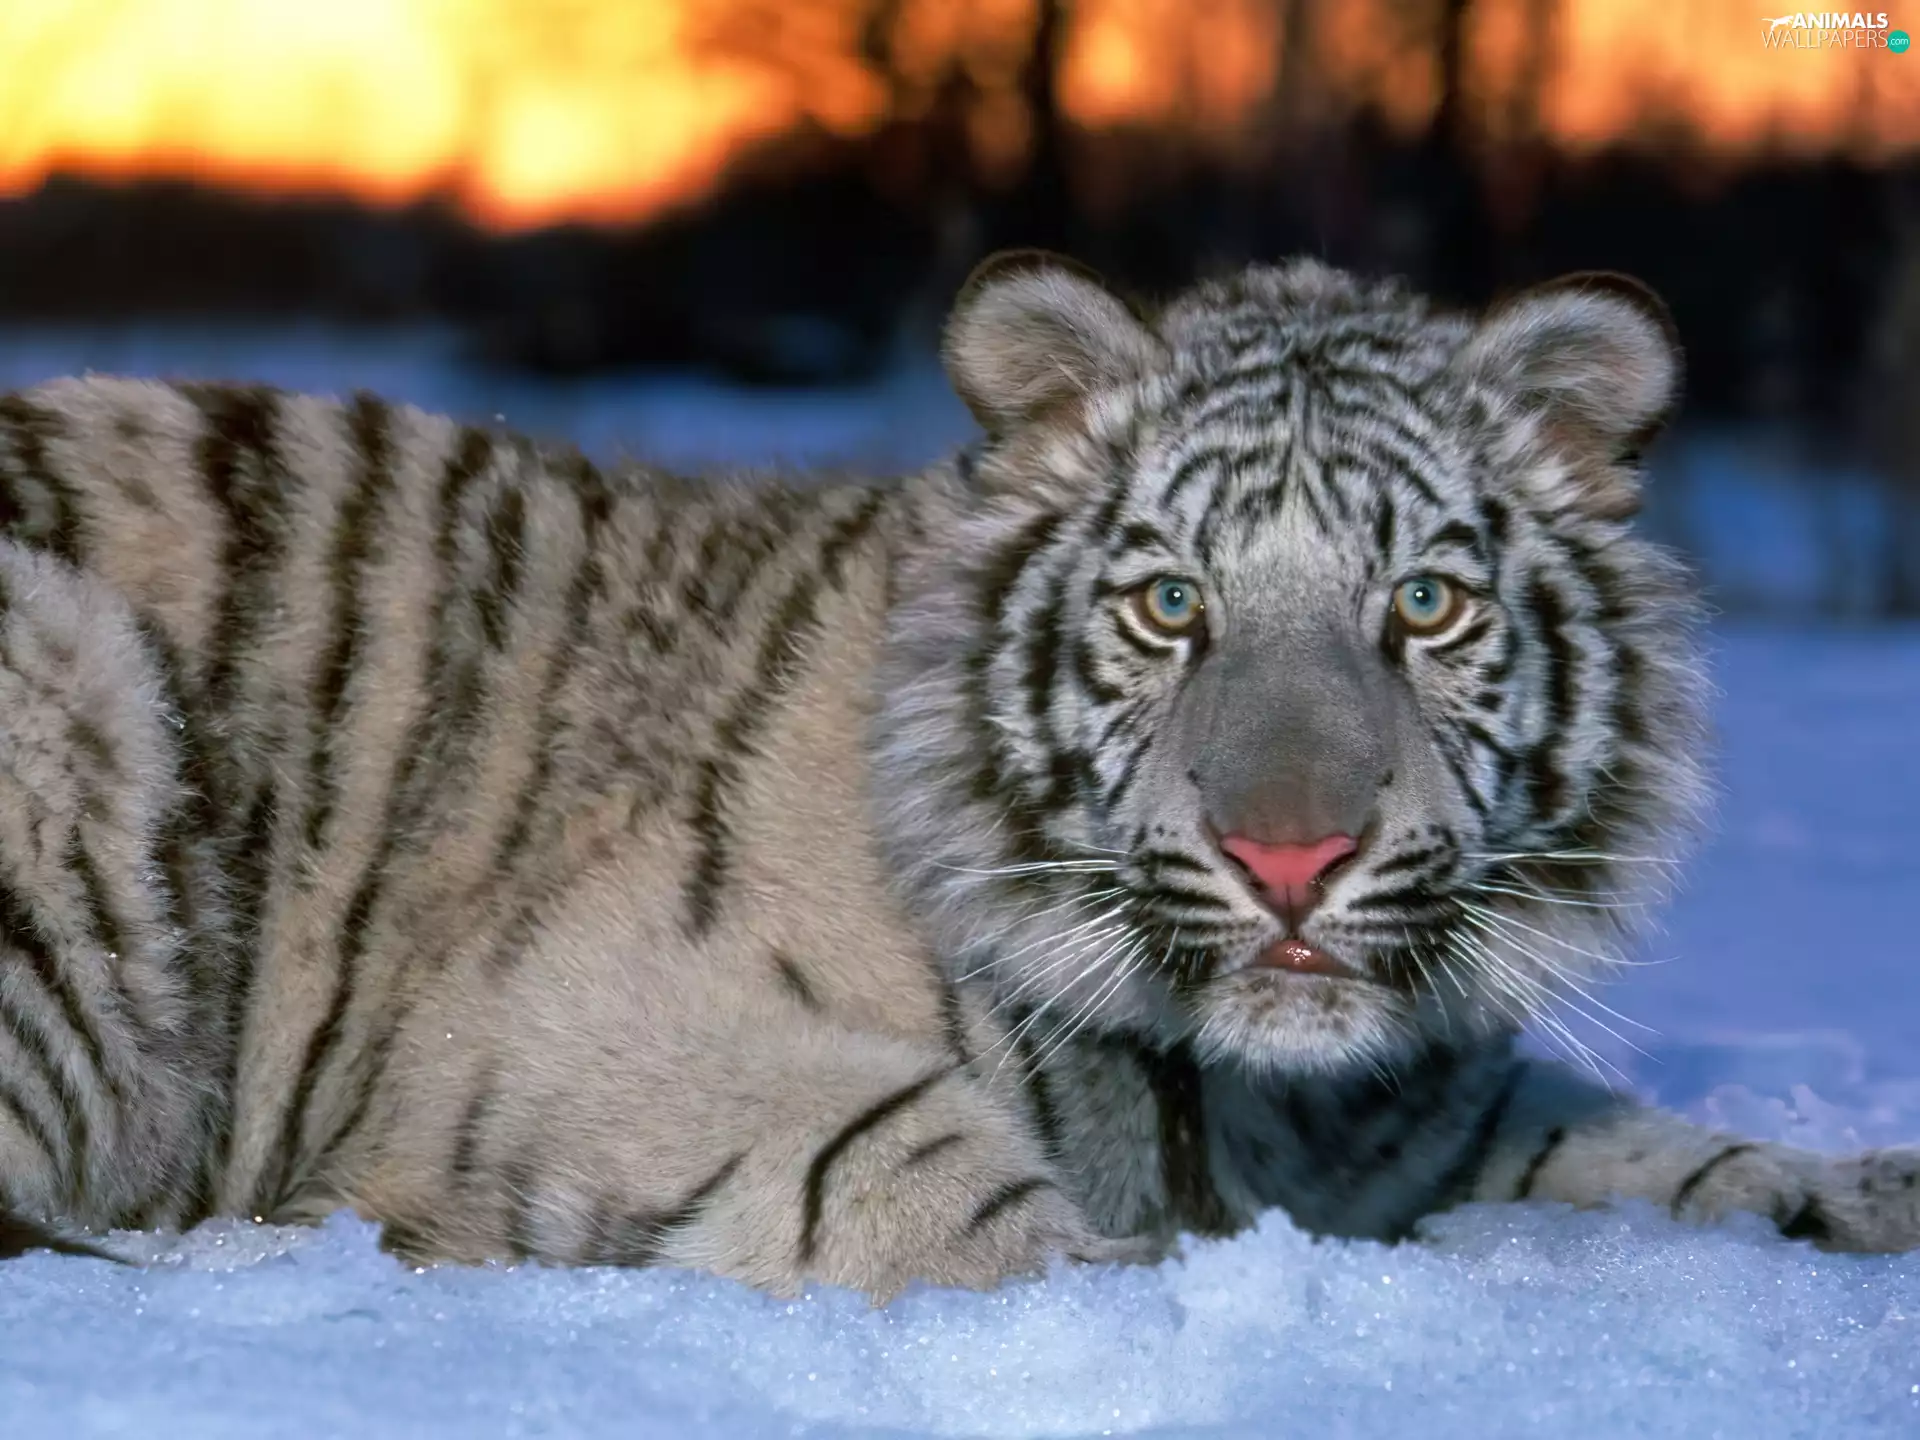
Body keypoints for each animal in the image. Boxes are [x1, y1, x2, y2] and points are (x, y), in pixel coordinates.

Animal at [0, 250, 1914, 1301]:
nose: (1290, 861)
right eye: (1171, 604)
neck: (1248, 1092)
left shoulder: (1417, 1112)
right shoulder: (578, 1027)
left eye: (1425, 605)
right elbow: (916, 1158)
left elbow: (1643, 1145)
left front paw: (1849, 1194)